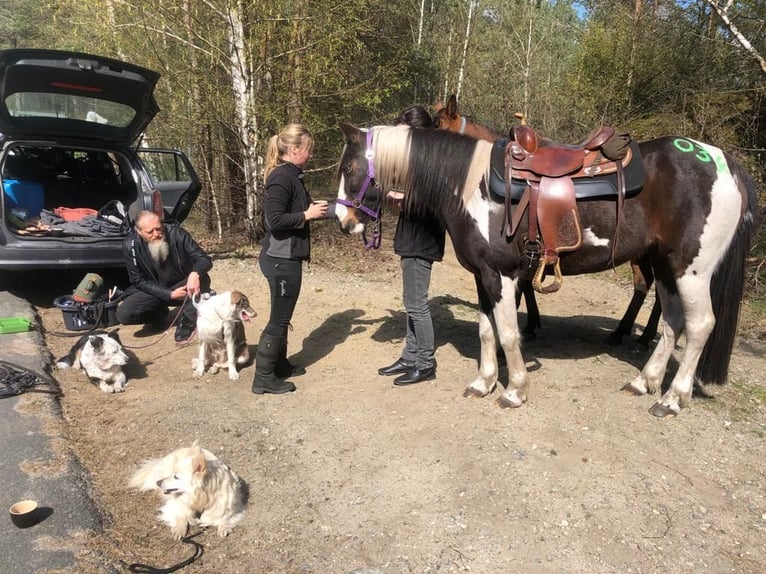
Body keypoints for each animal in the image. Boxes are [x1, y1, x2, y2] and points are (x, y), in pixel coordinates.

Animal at [436, 94, 664, 346]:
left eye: (436, 125)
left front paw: (528, 326)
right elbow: (527, 285)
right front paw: (532, 324)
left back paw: (643, 335)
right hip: (644, 251)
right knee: (645, 284)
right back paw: (624, 332)